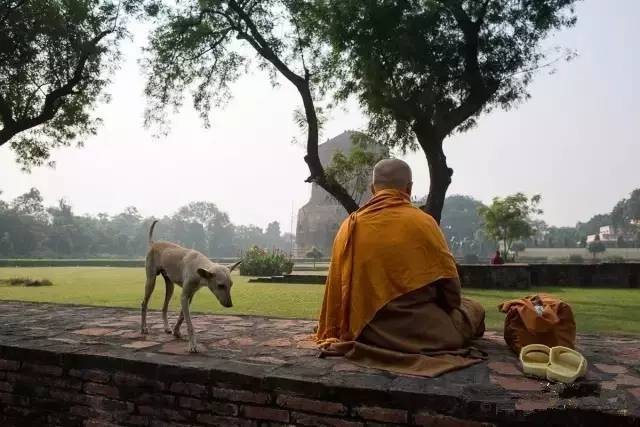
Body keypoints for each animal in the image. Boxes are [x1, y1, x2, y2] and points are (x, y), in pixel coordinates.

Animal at [141, 222, 241, 352]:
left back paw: (167, 327)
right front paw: (192, 344)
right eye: (220, 285)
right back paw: (143, 328)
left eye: (231, 285)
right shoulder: (184, 296)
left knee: (164, 307)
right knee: (144, 303)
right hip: (151, 281)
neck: (197, 265)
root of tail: (154, 243)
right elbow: (189, 322)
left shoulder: (190, 295)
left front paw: (176, 331)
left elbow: (182, 315)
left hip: (170, 285)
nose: (230, 304)